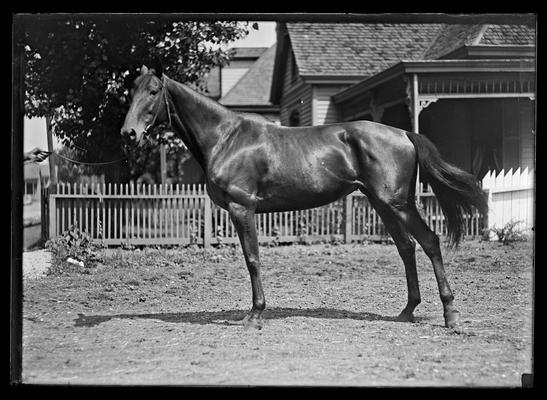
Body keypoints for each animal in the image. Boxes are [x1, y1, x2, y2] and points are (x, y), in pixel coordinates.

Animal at [121, 62, 488, 330]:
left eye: (153, 91)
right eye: (130, 92)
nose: (129, 133)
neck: (226, 138)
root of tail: (404, 133)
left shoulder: (242, 209)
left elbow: (253, 260)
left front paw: (254, 315)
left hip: (397, 204)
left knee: (429, 242)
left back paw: (450, 316)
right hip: (383, 204)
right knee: (406, 247)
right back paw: (407, 311)